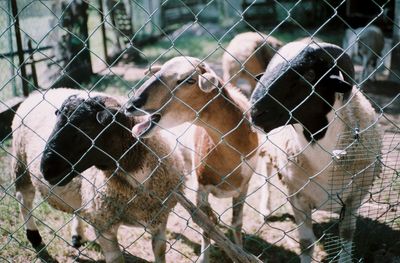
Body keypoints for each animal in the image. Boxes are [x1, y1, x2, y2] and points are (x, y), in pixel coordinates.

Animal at [12, 89, 184, 263]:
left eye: (87, 128)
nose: (46, 169)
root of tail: (35, 94)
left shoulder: (160, 218)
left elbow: (160, 250)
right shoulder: (103, 225)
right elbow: (116, 259)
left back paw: (77, 236)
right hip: (20, 162)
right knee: (24, 198)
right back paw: (34, 237)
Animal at [125, 56, 260, 262]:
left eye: (189, 80)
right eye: (159, 71)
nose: (131, 104)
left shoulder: (243, 187)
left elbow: (236, 223)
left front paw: (240, 252)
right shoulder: (202, 187)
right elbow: (206, 225)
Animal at [250, 41, 382, 263]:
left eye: (309, 74)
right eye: (269, 70)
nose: (254, 112)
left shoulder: (354, 197)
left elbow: (347, 237)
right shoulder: (298, 197)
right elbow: (306, 244)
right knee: (265, 172)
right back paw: (265, 209)